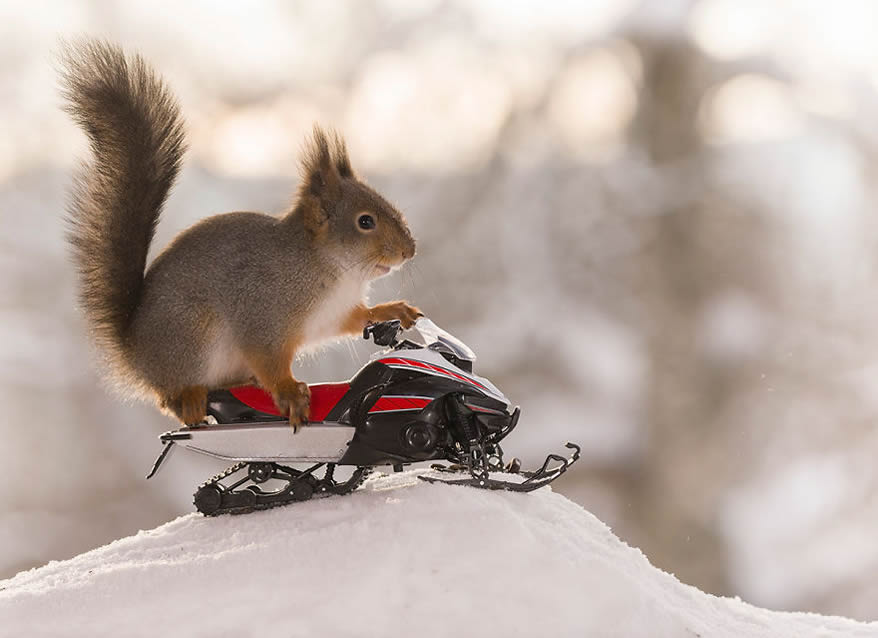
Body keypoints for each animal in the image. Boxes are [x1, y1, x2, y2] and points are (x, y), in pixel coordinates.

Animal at [59, 40, 422, 430]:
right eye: (365, 222)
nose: (409, 250)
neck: (333, 269)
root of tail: (135, 356)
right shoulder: (262, 313)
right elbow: (269, 359)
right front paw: (289, 391)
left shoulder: (332, 315)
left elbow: (359, 318)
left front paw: (393, 309)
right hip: (193, 337)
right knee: (168, 397)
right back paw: (190, 398)